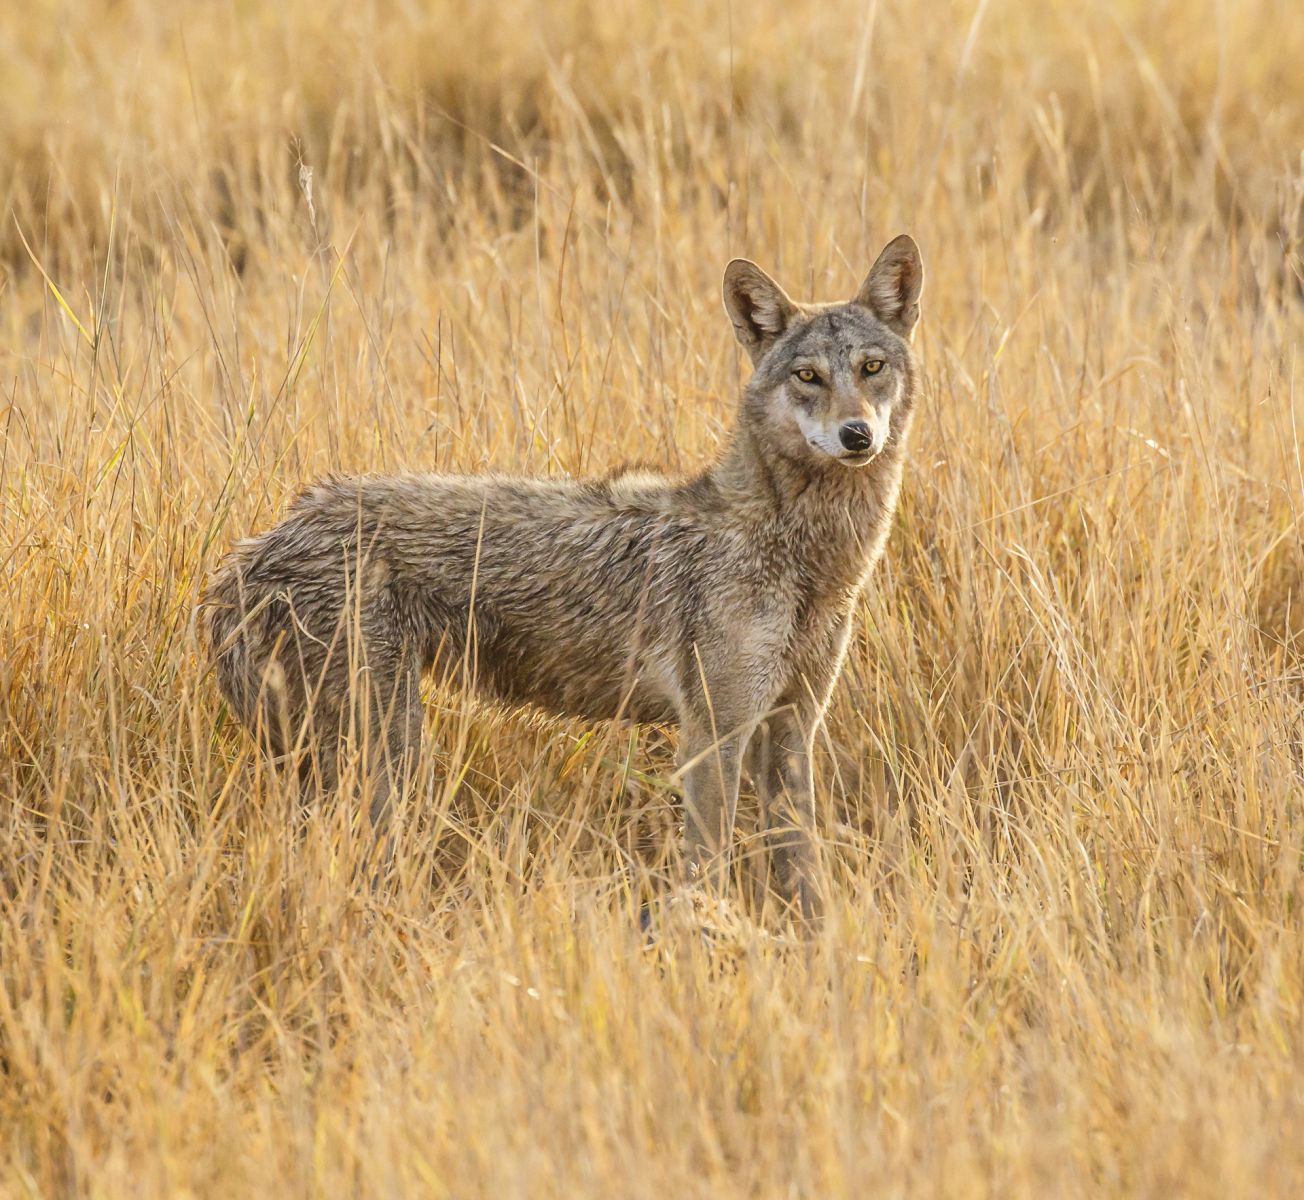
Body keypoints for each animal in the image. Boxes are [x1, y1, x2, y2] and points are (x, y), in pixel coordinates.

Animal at [203, 232, 923, 907]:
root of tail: (247, 558)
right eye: (807, 377)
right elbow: (708, 871)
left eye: (871, 368)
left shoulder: (793, 727)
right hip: (390, 763)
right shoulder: (713, 734)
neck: (807, 562)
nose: (857, 435)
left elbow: (806, 876)